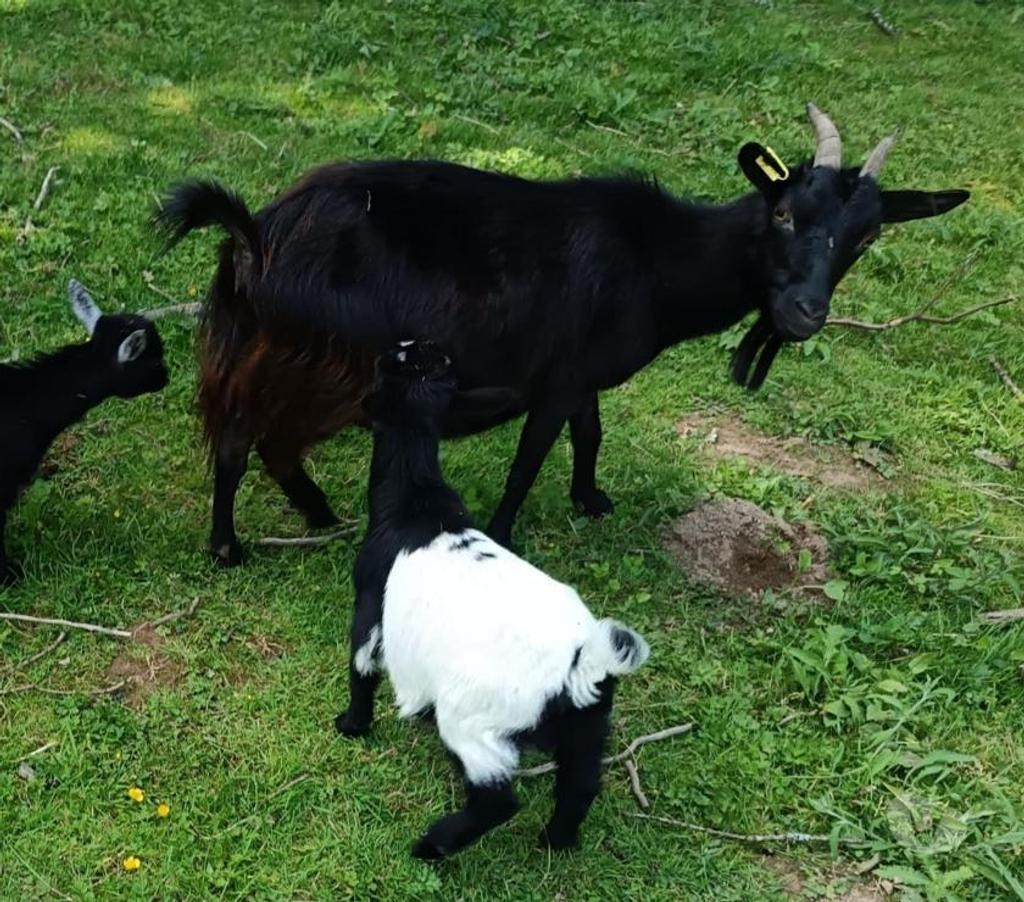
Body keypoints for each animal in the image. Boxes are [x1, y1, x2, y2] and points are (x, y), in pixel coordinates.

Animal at [157, 103, 969, 559]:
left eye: (866, 237)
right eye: (783, 212)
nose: (804, 312)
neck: (654, 257)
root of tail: (254, 236)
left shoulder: (585, 374)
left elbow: (591, 434)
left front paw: (590, 501)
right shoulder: (553, 378)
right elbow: (529, 459)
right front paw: (504, 532)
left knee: (268, 444)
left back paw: (319, 514)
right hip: (313, 361)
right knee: (245, 440)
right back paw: (229, 546)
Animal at [335, 340, 649, 859]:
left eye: (387, 365)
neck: (415, 500)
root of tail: (584, 664)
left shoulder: (370, 603)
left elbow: (361, 666)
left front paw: (352, 724)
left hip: (478, 720)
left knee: (498, 801)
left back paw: (432, 847)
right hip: (589, 725)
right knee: (580, 784)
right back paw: (556, 842)